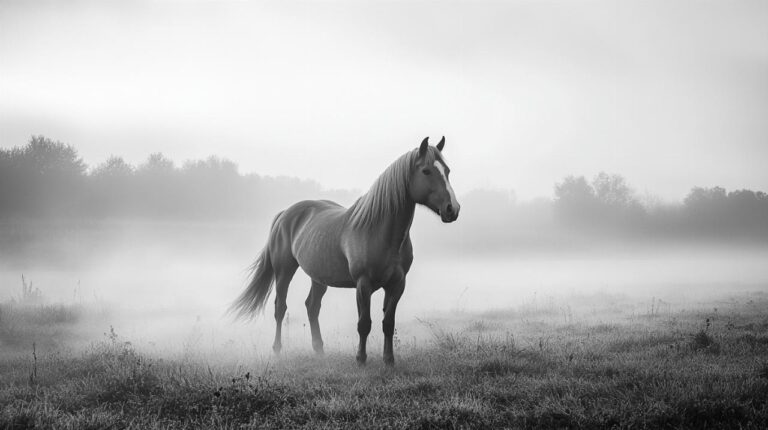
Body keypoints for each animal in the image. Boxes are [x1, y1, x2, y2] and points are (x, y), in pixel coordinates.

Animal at [231, 136, 460, 366]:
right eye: (426, 171)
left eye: (447, 170)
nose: (453, 209)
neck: (379, 231)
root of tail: (285, 214)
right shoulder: (363, 284)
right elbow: (364, 323)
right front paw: (361, 359)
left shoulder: (397, 284)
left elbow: (388, 323)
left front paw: (389, 360)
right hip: (284, 270)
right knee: (280, 308)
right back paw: (278, 350)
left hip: (319, 277)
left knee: (312, 307)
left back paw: (319, 350)